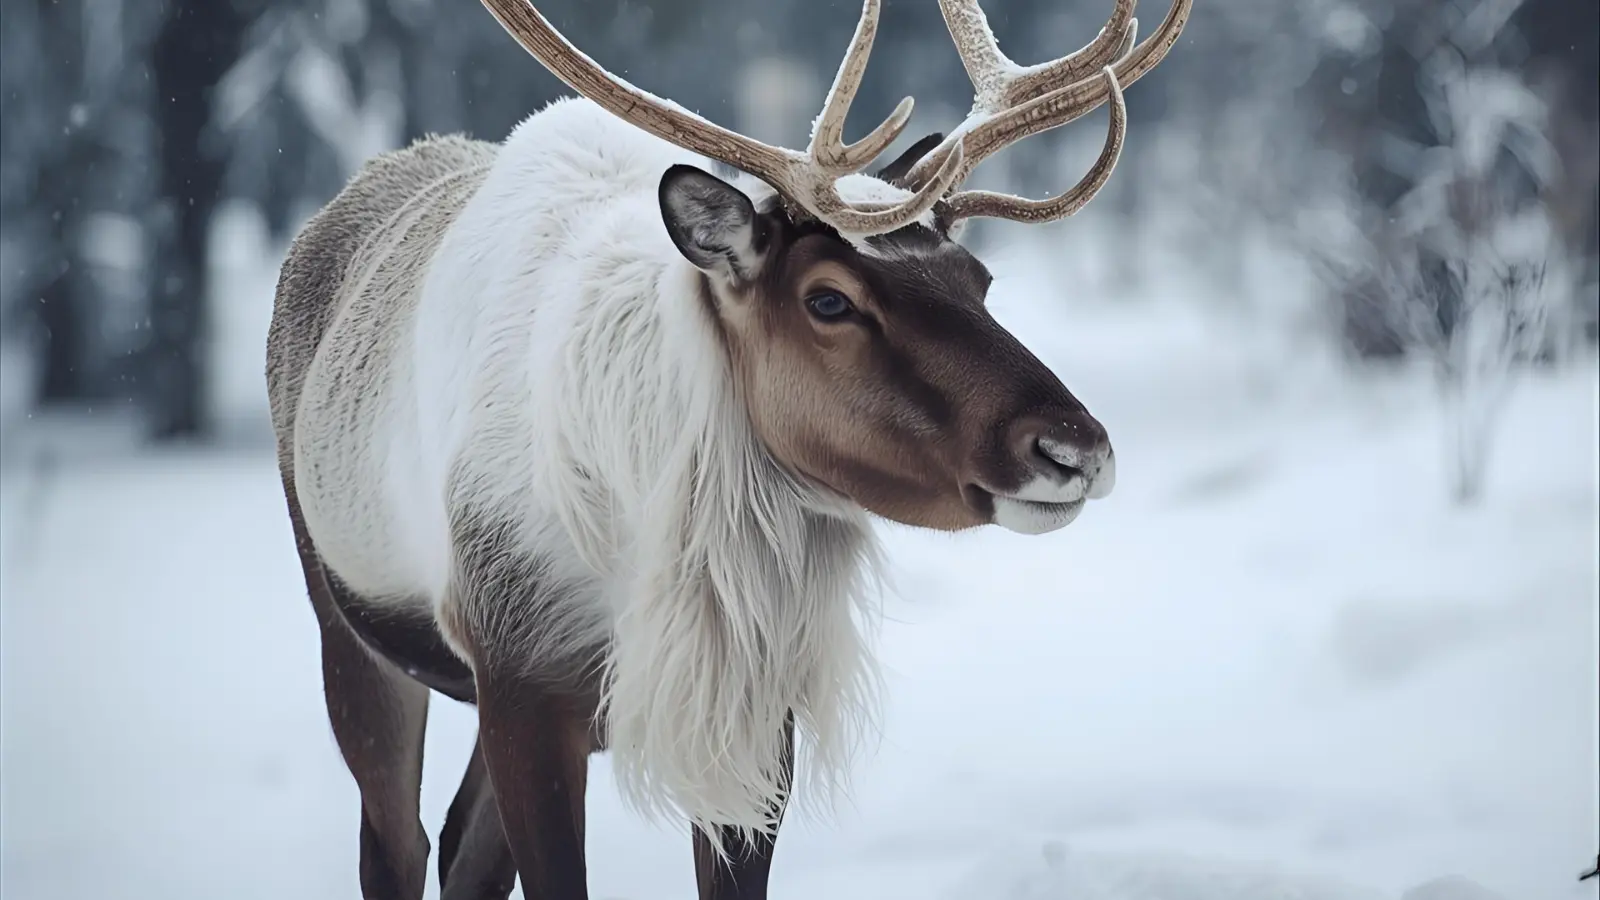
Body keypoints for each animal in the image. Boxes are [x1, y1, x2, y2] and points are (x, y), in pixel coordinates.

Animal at [265, 0, 1190, 897]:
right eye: (828, 299)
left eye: (979, 280)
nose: (1074, 447)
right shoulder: (520, 676)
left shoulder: (752, 705)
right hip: (349, 623)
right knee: (398, 846)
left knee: (464, 851)